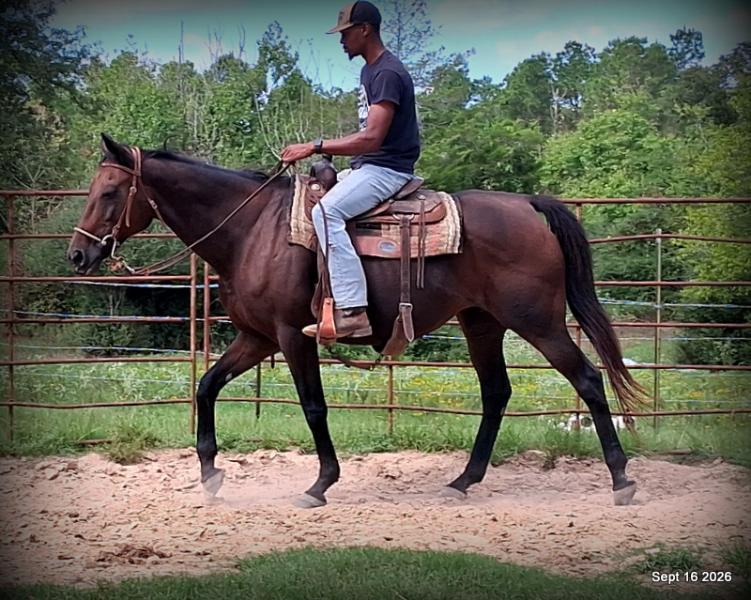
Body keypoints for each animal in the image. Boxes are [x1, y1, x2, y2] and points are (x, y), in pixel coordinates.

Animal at [68, 134, 645, 507]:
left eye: (111, 192)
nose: (78, 255)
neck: (253, 230)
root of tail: (529, 204)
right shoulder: (256, 337)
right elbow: (207, 386)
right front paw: (210, 476)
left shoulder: (290, 336)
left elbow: (313, 406)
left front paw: (321, 483)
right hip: (481, 322)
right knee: (497, 393)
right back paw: (464, 480)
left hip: (538, 322)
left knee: (588, 379)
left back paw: (621, 480)